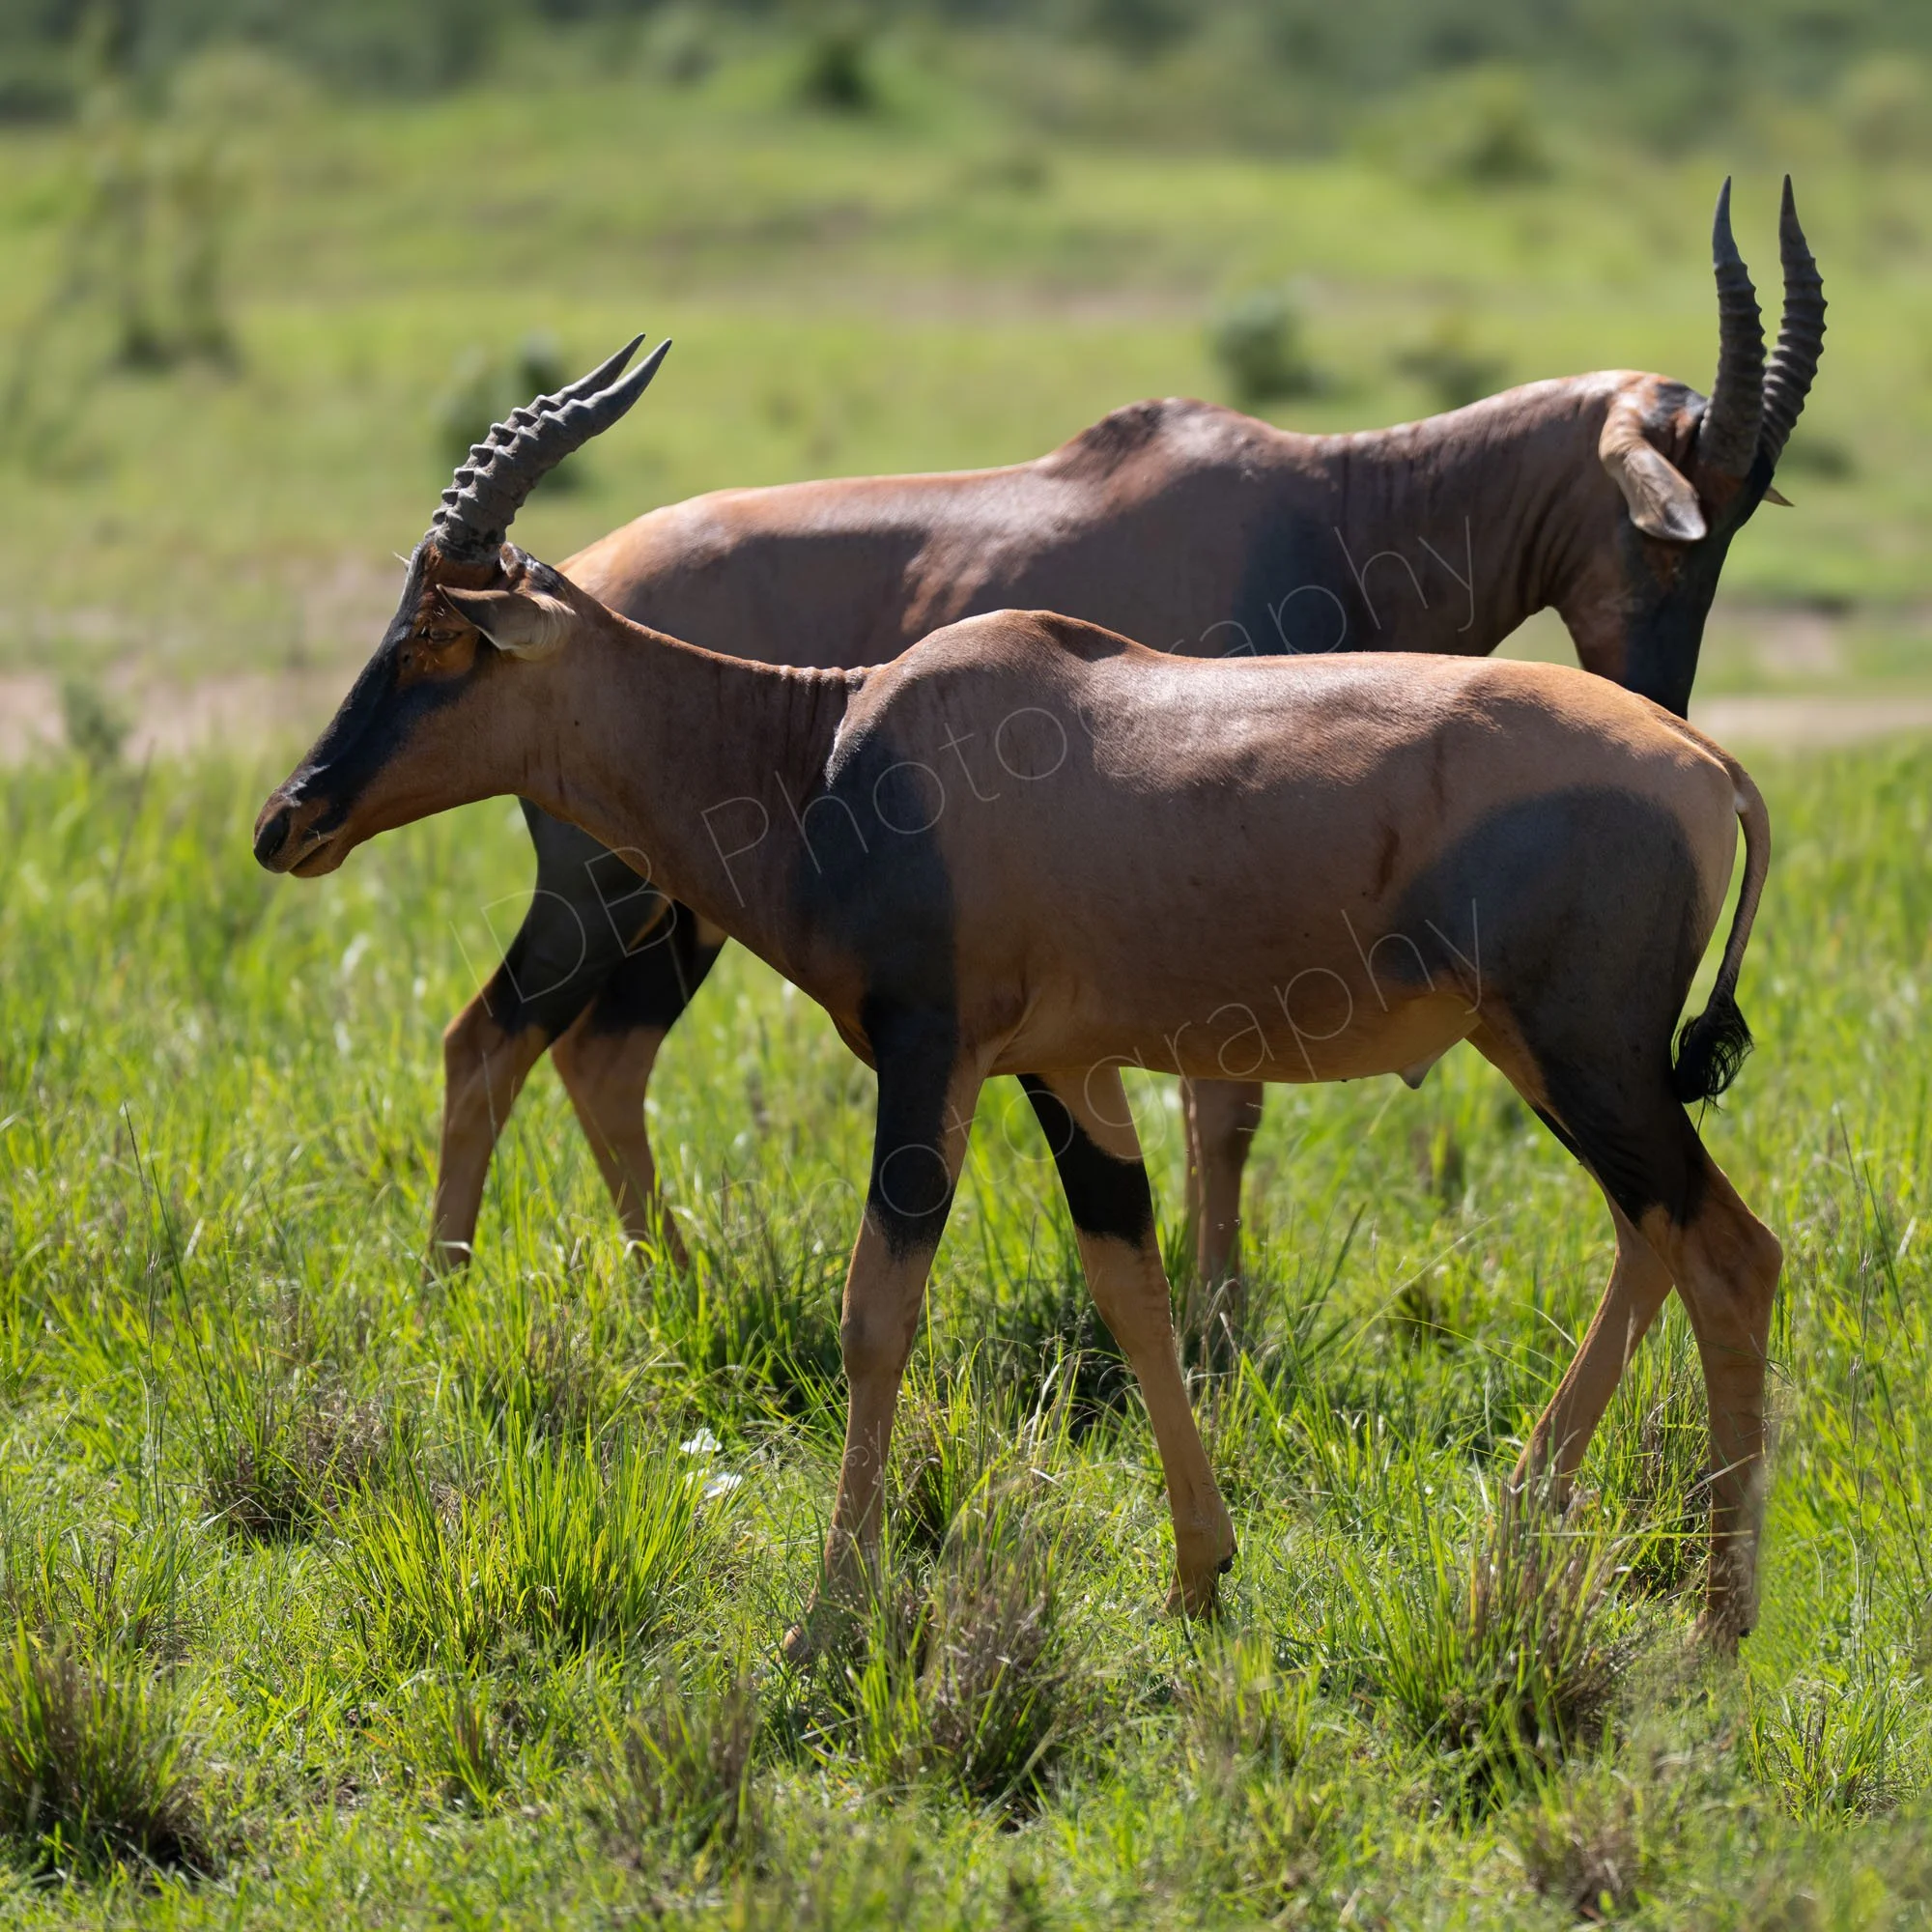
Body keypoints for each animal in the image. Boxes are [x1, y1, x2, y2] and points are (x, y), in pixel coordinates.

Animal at [255, 342, 1782, 1647]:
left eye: (442, 638)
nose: (288, 820)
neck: (838, 744)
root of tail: (1706, 764)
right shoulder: (1067, 1070)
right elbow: (1131, 1287)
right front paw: (1197, 1574)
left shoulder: (930, 1058)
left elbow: (878, 1312)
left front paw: (827, 1617)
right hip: (1556, 1061)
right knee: (1657, 1238)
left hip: (1584, 1056)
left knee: (1727, 1251)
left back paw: (1714, 1631)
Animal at [429, 182, 1820, 1321]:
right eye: (1663, 524)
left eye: (1740, 519)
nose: (1656, 704)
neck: (1325, 508)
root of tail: (583, 573)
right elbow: (1225, 1102)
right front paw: (1218, 1313)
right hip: (598, 885)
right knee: (490, 1040)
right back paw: (459, 1294)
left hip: (685, 907)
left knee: (603, 1055)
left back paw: (675, 1280)